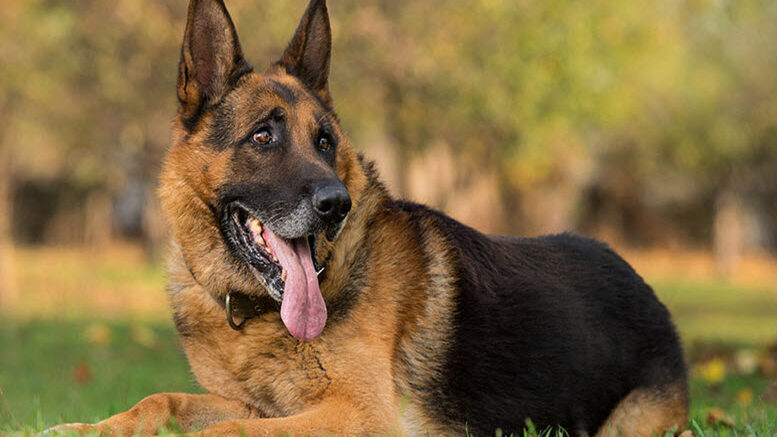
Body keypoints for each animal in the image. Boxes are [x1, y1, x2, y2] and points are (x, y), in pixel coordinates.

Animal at [50, 0, 684, 436]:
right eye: (263, 137)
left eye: (326, 142)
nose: (336, 205)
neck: (260, 315)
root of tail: (643, 286)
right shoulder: (255, 403)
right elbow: (160, 402)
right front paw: (82, 428)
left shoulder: (357, 413)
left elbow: (228, 432)